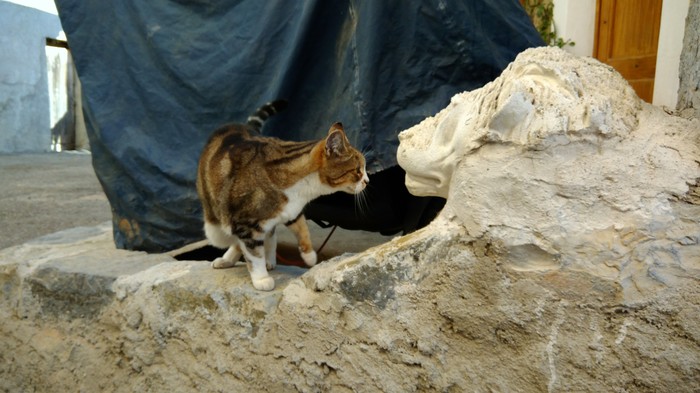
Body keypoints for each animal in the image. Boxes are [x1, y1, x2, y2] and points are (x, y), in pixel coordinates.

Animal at [196, 102, 370, 290]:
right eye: (358, 170)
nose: (367, 181)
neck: (303, 189)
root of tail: (240, 125)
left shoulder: (292, 211)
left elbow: (302, 229)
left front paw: (309, 256)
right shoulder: (245, 224)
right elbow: (253, 254)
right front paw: (261, 278)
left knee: (266, 234)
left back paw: (267, 259)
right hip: (216, 229)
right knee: (235, 239)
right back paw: (229, 260)